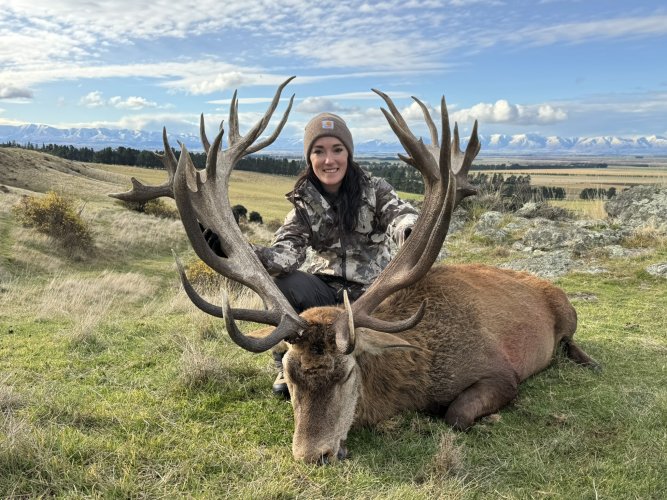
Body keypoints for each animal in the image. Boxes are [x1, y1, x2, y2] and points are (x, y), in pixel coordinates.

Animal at [110, 77, 599, 464]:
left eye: (347, 373)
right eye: (289, 377)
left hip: (567, 312)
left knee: (570, 339)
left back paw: (586, 359)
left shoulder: (501, 371)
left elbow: (457, 414)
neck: (414, 377)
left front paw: (487, 417)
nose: (313, 455)